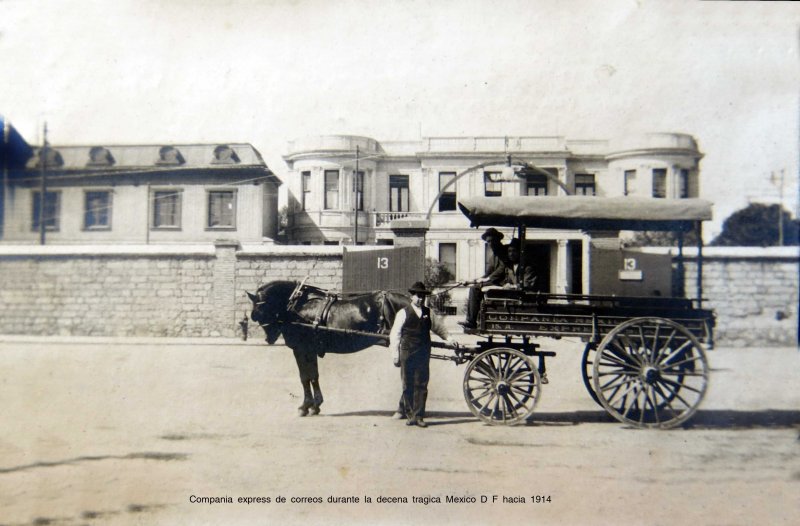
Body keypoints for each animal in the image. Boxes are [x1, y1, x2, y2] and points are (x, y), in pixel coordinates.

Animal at [245, 282, 410, 418]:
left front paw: (305, 407)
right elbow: (313, 376)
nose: (269, 339)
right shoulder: (309, 350)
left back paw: (401, 410)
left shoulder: (301, 349)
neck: (297, 308)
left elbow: (304, 377)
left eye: (260, 311)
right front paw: (315, 405)